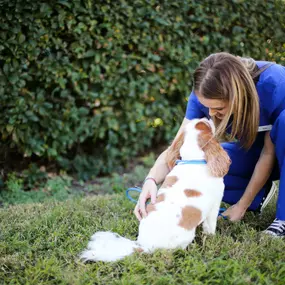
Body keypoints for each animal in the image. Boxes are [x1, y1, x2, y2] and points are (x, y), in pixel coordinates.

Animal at [80, 118, 231, 262]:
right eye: (206, 124)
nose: (207, 116)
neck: (193, 159)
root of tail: (145, 246)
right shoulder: (215, 204)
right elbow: (210, 226)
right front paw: (212, 237)